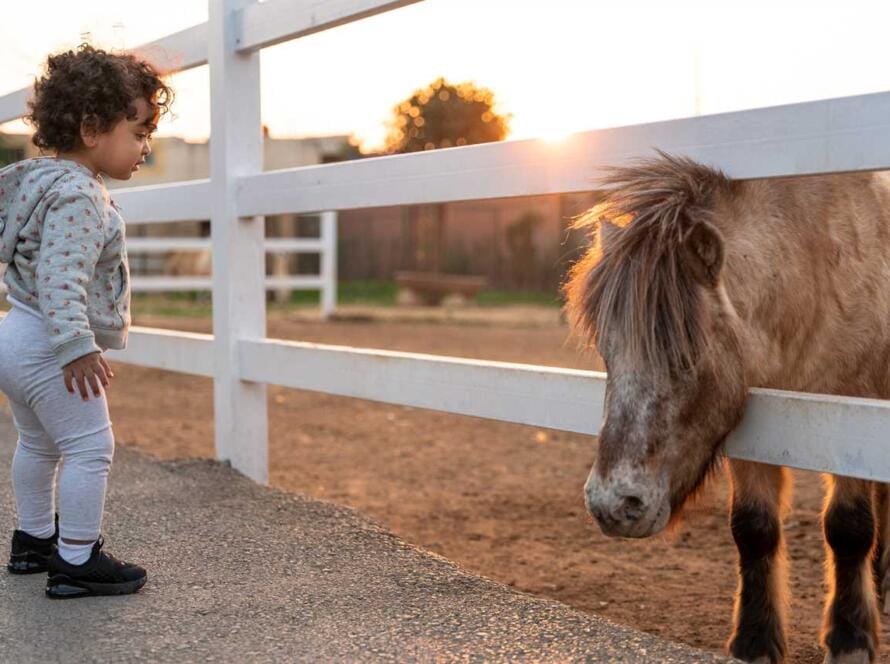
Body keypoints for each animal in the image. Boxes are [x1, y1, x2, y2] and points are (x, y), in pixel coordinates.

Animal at [560, 152, 888, 664]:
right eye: (606, 353)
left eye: (687, 355)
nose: (613, 506)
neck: (817, 273)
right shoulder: (755, 425)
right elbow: (752, 528)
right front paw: (754, 641)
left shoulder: (854, 412)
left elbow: (848, 526)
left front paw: (851, 639)